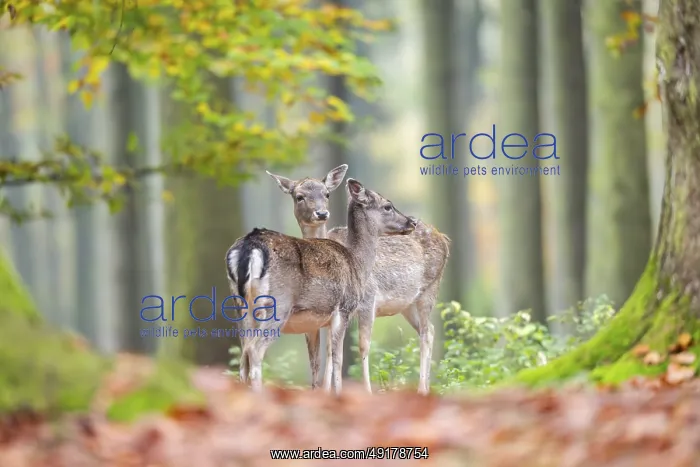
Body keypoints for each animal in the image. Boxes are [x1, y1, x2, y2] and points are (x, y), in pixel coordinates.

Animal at [225, 178, 417, 393]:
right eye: (387, 206)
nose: (412, 222)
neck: (357, 264)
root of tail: (249, 247)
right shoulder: (344, 309)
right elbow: (338, 359)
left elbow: (323, 360)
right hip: (277, 305)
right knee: (255, 350)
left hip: (240, 306)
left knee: (244, 355)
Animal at [267, 167, 451, 395]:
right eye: (299, 196)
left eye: (327, 194)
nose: (321, 214)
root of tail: (444, 238)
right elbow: (328, 350)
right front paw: (326, 390)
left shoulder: (368, 301)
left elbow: (360, 346)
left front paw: (365, 391)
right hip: (407, 303)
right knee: (430, 330)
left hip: (430, 289)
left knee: (426, 333)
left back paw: (422, 390)